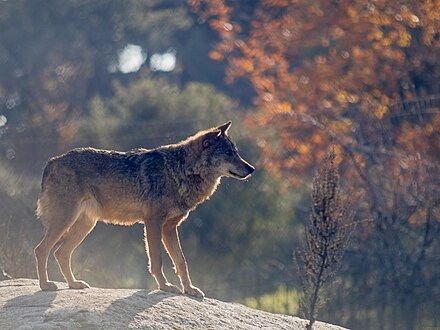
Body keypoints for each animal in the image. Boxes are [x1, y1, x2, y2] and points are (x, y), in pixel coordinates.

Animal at [34, 121, 254, 296]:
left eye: (236, 152)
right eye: (229, 153)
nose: (251, 169)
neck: (178, 171)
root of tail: (51, 162)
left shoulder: (170, 228)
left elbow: (181, 262)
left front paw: (189, 290)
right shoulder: (153, 223)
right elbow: (157, 261)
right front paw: (165, 287)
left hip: (85, 225)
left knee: (60, 253)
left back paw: (73, 284)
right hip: (66, 220)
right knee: (41, 250)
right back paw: (45, 285)